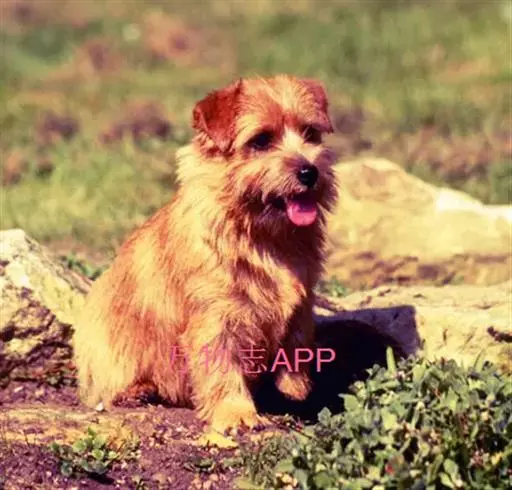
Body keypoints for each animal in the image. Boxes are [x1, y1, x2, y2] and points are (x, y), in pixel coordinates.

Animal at [72, 74, 338, 433]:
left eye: (310, 133)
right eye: (261, 141)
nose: (310, 172)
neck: (262, 236)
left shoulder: (302, 301)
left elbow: (298, 341)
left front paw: (295, 389)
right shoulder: (215, 315)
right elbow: (221, 364)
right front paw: (236, 412)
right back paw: (138, 391)